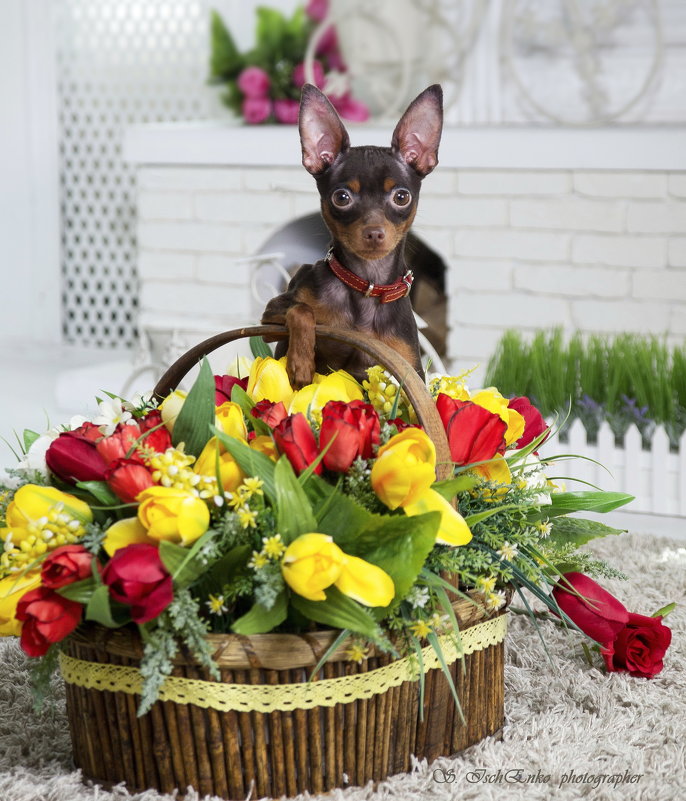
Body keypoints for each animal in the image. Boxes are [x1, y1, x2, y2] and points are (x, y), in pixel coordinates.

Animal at [260, 83, 444, 390]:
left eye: (402, 197)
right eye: (342, 197)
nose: (374, 233)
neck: (367, 283)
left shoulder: (409, 369)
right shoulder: (270, 319)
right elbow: (301, 309)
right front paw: (300, 363)